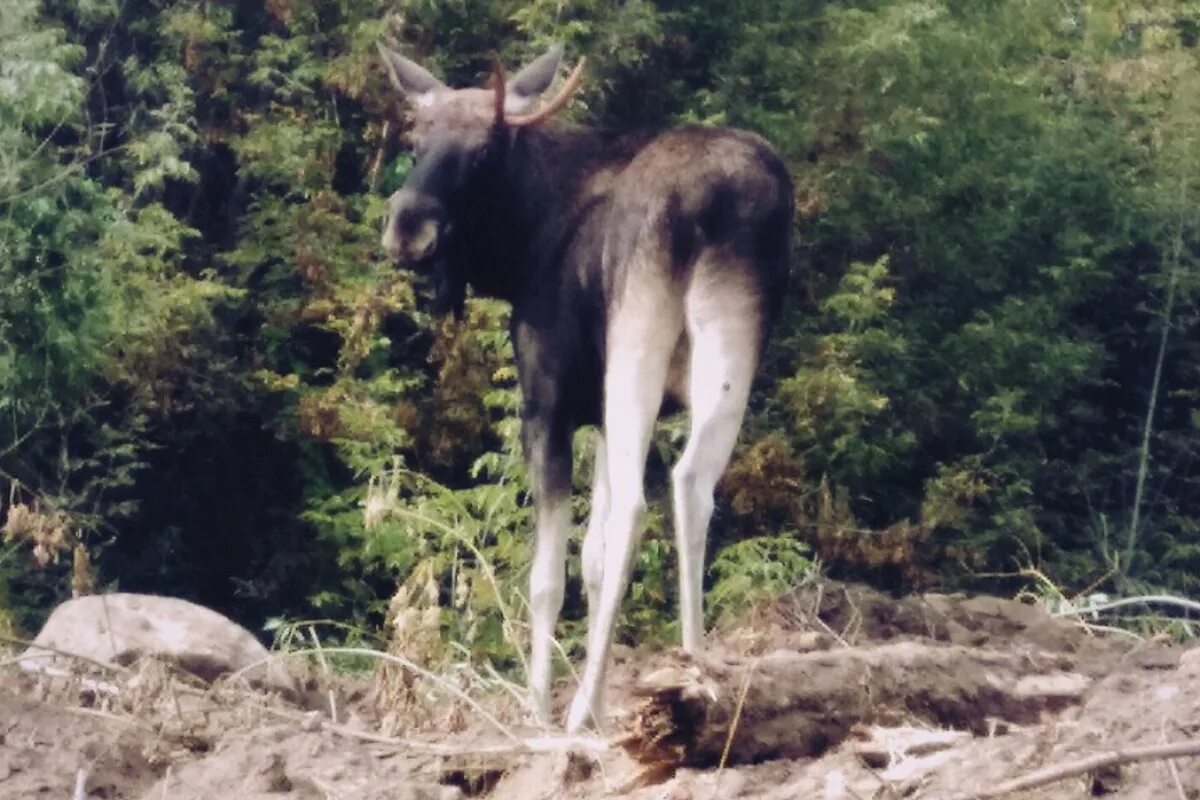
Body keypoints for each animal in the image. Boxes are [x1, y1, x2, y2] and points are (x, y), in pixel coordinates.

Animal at [374, 42, 787, 734]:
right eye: (416, 138)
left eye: (484, 150)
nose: (408, 229)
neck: (522, 245)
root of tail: (713, 201)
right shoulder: (593, 413)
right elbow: (590, 560)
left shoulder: (549, 402)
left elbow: (548, 575)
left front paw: (541, 707)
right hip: (733, 339)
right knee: (693, 481)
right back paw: (695, 662)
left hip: (636, 336)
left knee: (639, 507)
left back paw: (579, 709)